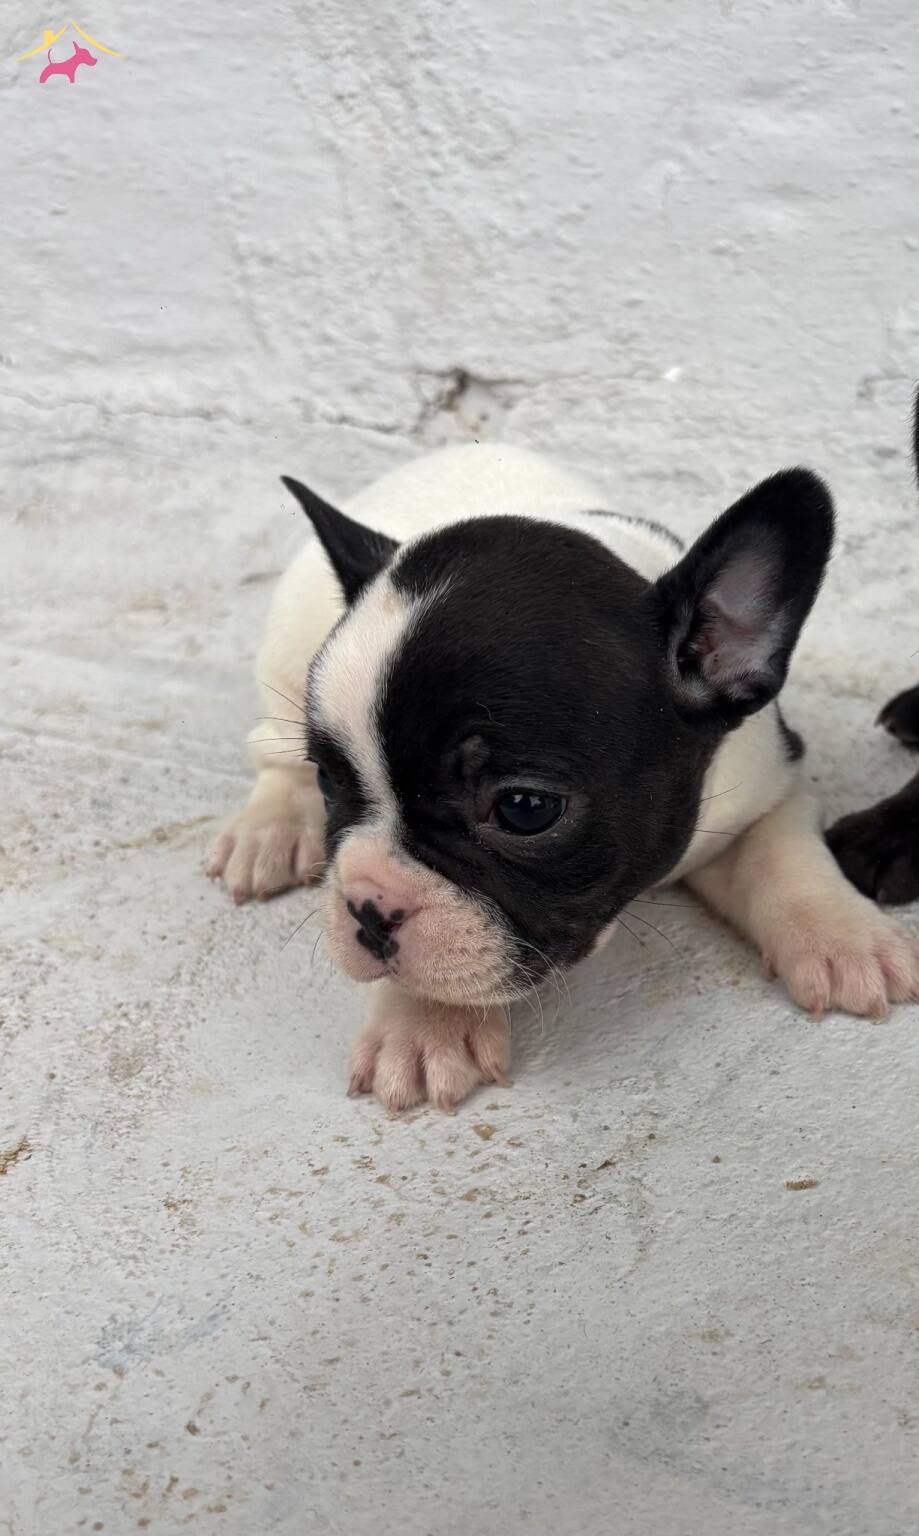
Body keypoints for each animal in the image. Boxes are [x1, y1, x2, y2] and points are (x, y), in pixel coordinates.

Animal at [209, 444, 919, 1110]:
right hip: (288, 639)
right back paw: (269, 833)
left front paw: (844, 937)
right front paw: (424, 1027)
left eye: (525, 808)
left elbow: (785, 854)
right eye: (331, 782)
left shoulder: (770, 777)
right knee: (270, 750)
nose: (367, 909)